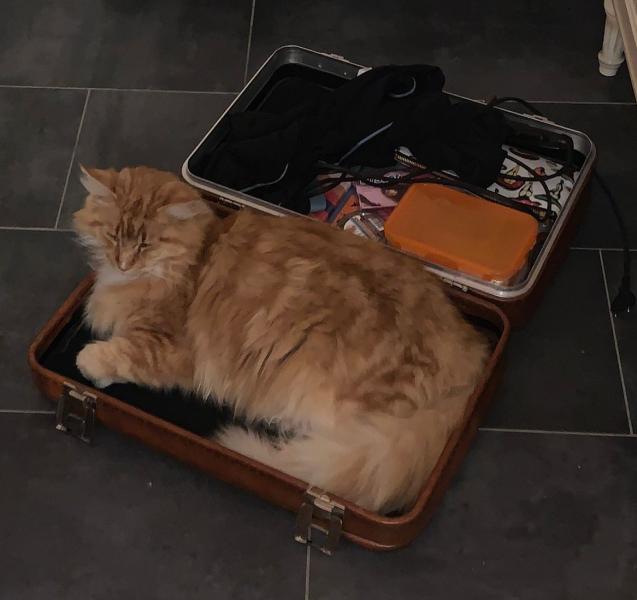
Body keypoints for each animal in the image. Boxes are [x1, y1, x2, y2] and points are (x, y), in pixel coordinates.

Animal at [73, 165, 489, 514]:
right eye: (113, 236)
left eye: (145, 245)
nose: (124, 262)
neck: (195, 255)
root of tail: (471, 361)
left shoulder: (172, 348)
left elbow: (124, 353)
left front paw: (89, 363)